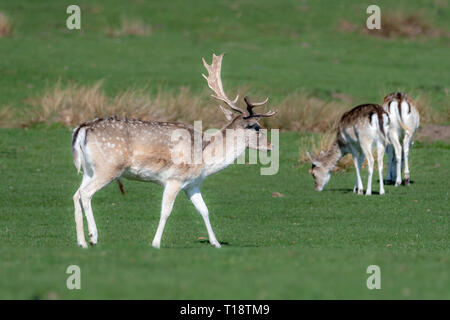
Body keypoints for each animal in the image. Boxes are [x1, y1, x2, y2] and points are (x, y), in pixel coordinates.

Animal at [71, 53, 276, 249]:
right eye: (256, 127)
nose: (270, 146)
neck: (205, 158)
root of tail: (82, 129)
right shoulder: (174, 179)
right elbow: (166, 211)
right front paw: (156, 243)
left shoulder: (193, 184)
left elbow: (204, 210)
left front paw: (216, 243)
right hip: (109, 167)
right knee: (86, 193)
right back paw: (93, 237)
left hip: (89, 169)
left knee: (76, 194)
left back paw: (81, 242)